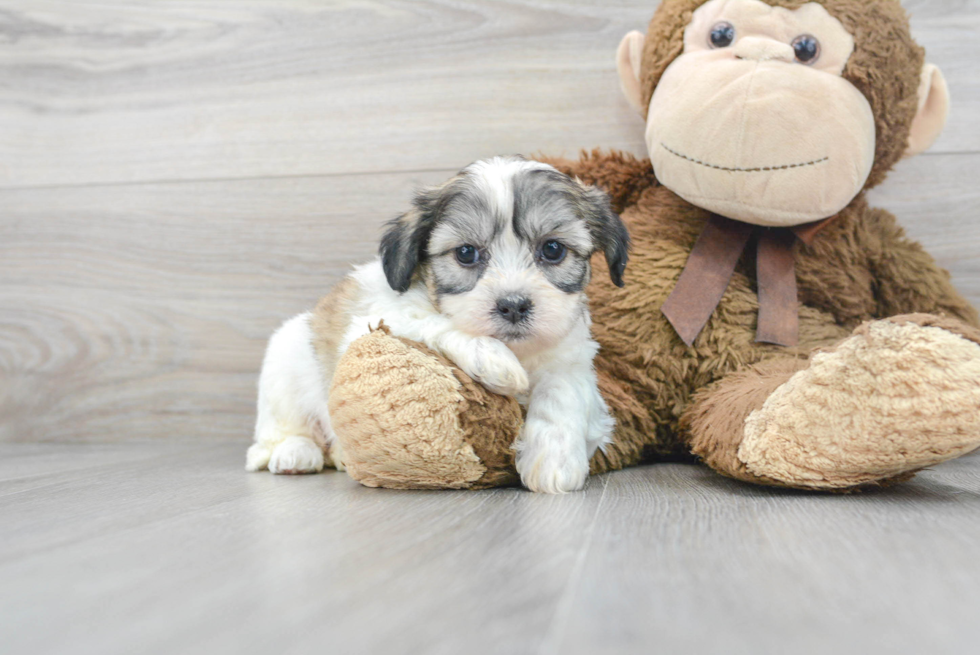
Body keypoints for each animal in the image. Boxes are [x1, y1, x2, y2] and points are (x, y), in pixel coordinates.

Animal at [245, 156, 628, 492]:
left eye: (552, 249)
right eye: (466, 253)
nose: (513, 305)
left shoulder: (573, 360)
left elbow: (562, 392)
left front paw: (553, 459)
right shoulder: (375, 320)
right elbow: (437, 324)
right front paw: (494, 360)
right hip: (285, 365)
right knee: (278, 434)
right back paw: (295, 453)